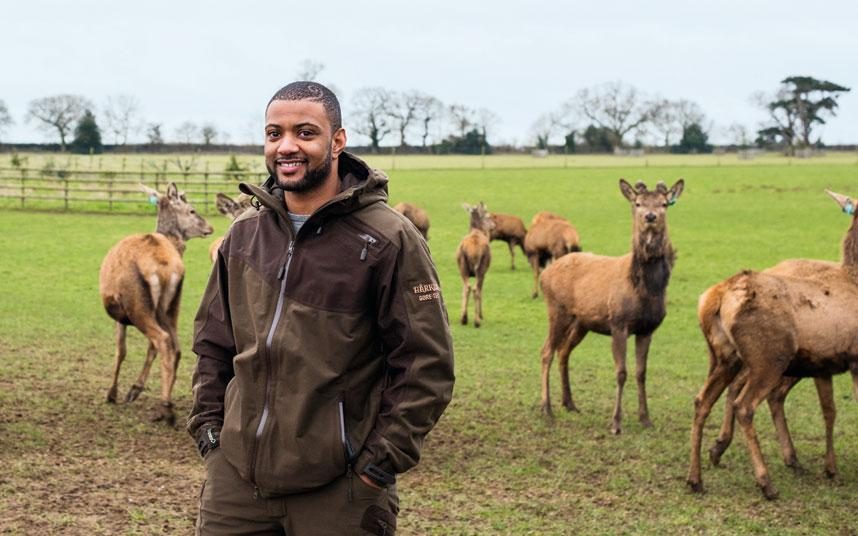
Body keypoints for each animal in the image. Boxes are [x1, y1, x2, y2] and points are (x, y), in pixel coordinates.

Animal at [98, 182, 212, 426]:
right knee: (175, 346)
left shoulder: (120, 315)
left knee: (162, 340)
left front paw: (112, 393)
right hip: (171, 306)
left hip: (137, 305)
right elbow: (149, 350)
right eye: (192, 210)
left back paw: (166, 408)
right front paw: (134, 389)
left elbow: (121, 350)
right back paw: (165, 403)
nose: (210, 227)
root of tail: (164, 268)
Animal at [536, 180, 684, 436]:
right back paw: (547, 408)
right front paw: (616, 423)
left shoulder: (648, 329)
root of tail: (545, 274)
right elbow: (621, 372)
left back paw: (569, 403)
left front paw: (646, 419)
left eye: (664, 203)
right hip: (557, 309)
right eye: (638, 203)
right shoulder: (618, 322)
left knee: (563, 351)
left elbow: (641, 373)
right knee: (546, 351)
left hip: (581, 322)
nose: (650, 216)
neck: (645, 291)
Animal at [684, 187, 856, 498]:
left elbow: (829, 411)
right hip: (769, 357)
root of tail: (714, 298)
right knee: (745, 403)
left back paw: (696, 476)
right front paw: (831, 468)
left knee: (703, 400)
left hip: (726, 357)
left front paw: (830, 468)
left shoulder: (825, 364)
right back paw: (766, 482)